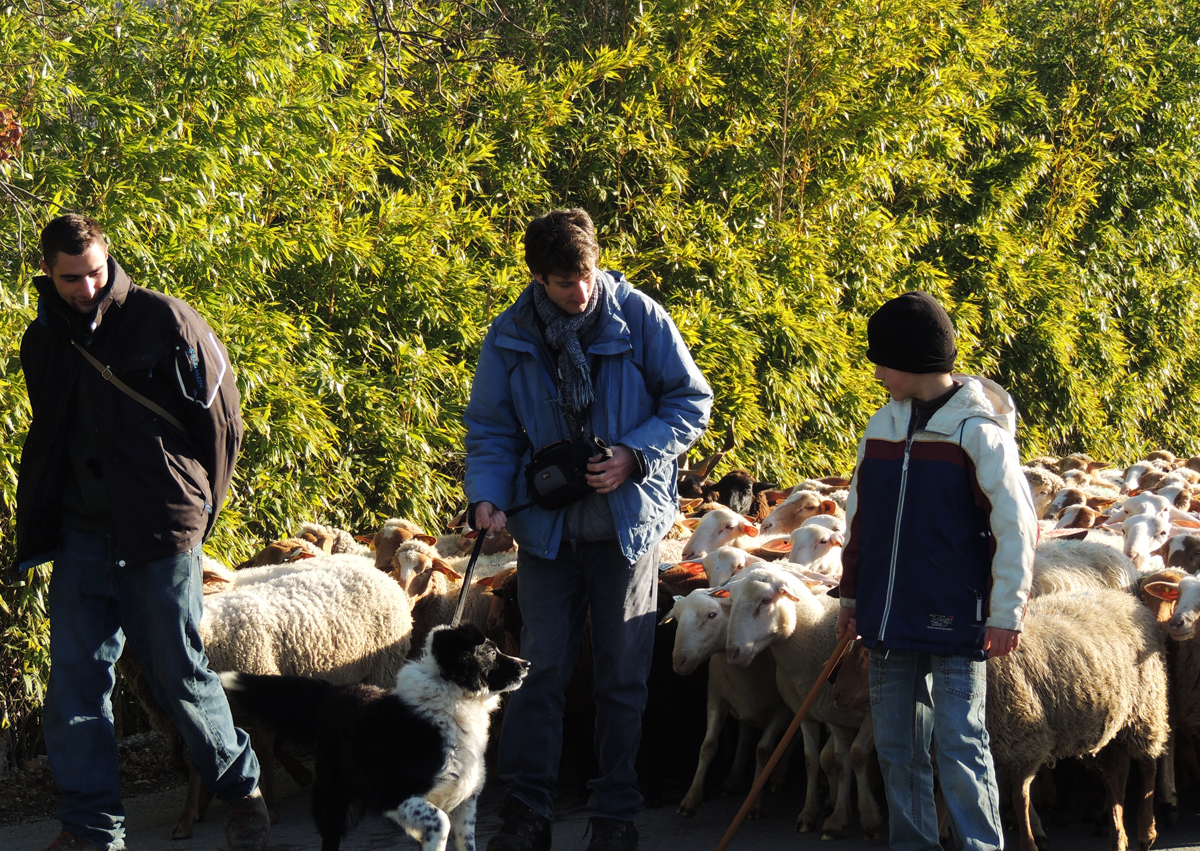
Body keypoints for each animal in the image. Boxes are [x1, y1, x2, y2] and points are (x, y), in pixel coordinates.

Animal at [222, 619, 530, 849]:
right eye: (491, 652)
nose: (527, 664)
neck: (453, 698)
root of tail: (333, 691)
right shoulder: (393, 794)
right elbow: (440, 821)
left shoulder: (465, 803)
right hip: (335, 801)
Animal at [662, 583, 792, 816]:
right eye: (676, 618)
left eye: (712, 615)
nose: (679, 661)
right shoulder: (716, 698)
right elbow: (708, 746)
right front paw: (691, 799)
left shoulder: (781, 709)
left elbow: (764, 750)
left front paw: (755, 802)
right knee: (746, 731)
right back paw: (733, 779)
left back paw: (778, 776)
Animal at [720, 564, 883, 835]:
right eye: (731, 601)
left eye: (766, 600)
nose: (732, 653)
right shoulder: (815, 714)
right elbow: (819, 761)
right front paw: (815, 814)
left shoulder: (870, 714)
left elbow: (857, 756)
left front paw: (870, 818)